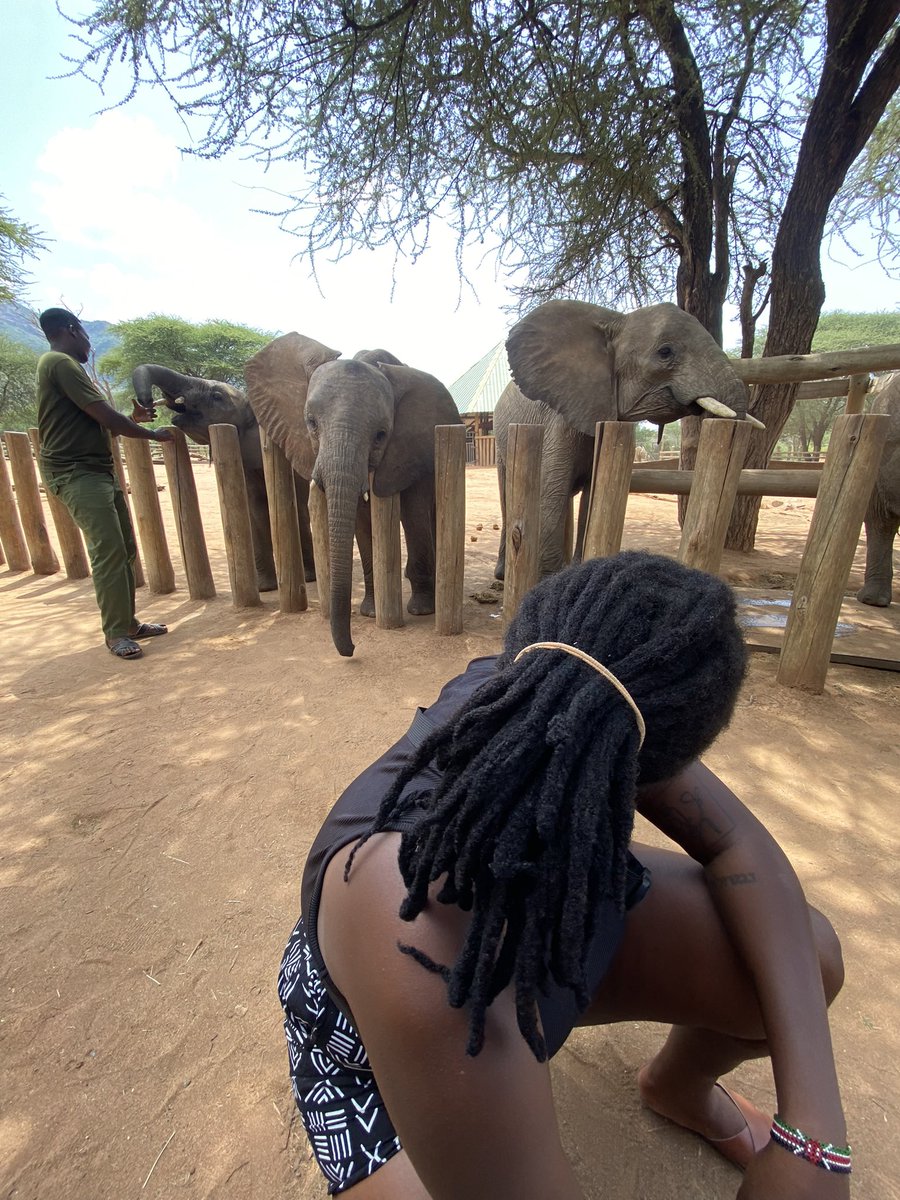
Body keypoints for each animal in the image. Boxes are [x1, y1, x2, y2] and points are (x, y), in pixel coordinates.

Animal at [132, 364, 316, 590]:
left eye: (217, 396)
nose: (147, 403)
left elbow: (298, 506)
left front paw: (309, 578)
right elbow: (254, 510)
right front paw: (264, 587)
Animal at [243, 333, 460, 657]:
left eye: (381, 435)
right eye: (311, 423)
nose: (353, 648)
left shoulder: (413, 446)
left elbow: (413, 511)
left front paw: (422, 610)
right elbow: (359, 520)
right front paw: (370, 612)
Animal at [496, 300, 763, 580]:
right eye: (665, 352)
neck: (615, 322)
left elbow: (591, 499)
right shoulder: (558, 420)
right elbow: (551, 495)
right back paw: (503, 575)